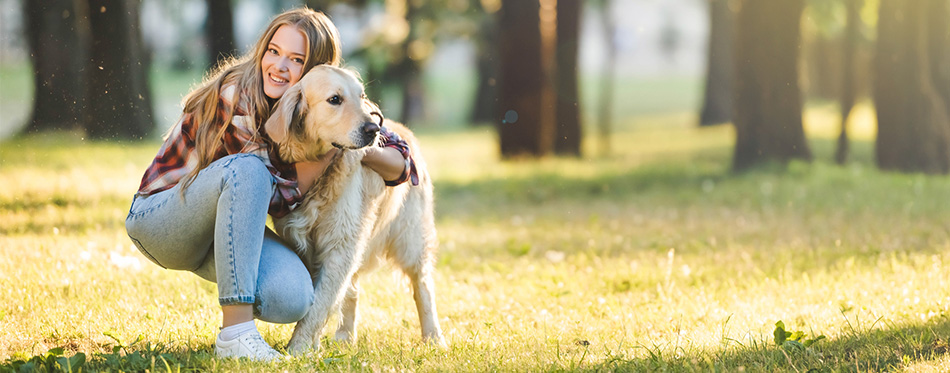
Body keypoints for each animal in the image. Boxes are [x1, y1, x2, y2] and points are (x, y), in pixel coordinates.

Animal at [264, 65, 446, 354]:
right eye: (335, 99)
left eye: (361, 96)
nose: (374, 129)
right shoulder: (306, 244)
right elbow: (321, 296)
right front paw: (311, 345)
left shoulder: (341, 244)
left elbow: (320, 302)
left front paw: (298, 349)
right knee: (352, 288)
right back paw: (345, 337)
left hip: (410, 240)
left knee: (423, 285)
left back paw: (434, 337)